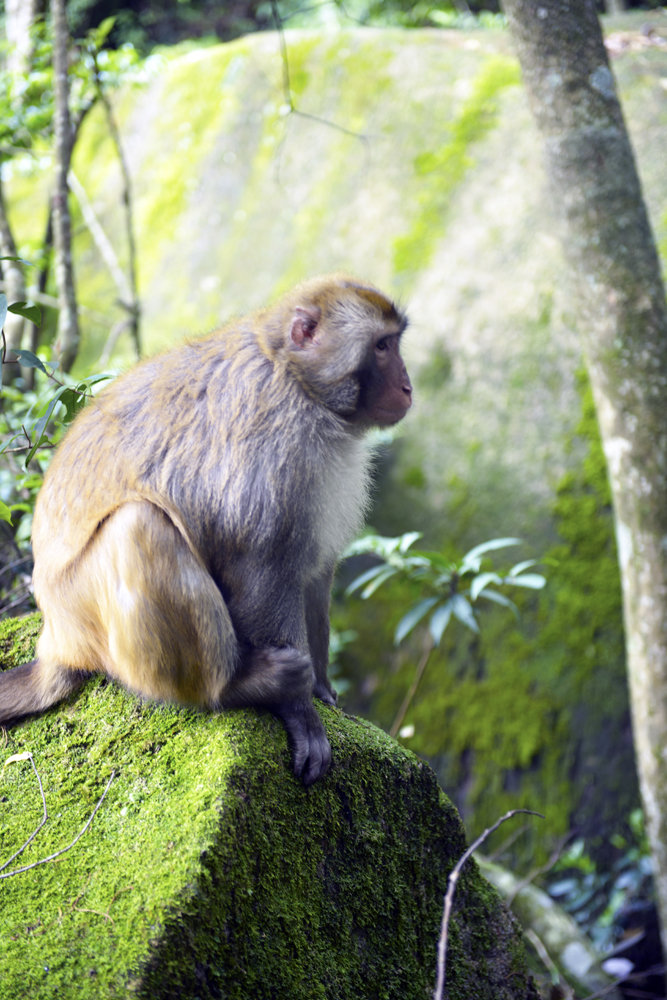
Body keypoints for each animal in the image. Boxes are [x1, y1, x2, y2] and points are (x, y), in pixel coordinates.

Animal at [0, 276, 412, 788]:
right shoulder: (277, 444)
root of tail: (57, 640)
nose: (408, 386)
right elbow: (259, 566)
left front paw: (324, 691)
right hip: (92, 618)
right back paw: (237, 686)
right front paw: (300, 713)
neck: (297, 381)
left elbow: (314, 574)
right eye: (382, 346)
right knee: (139, 525)